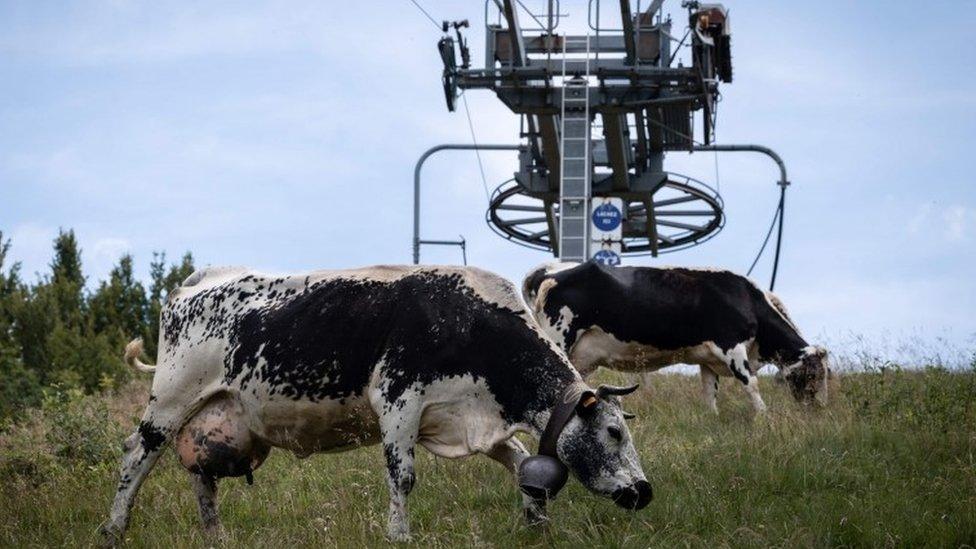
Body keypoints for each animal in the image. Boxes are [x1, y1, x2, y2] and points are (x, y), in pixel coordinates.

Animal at [103, 264, 652, 540]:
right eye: (614, 432)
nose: (644, 491)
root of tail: (200, 278)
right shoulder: (398, 399)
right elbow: (402, 477)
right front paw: (399, 535)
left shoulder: (469, 415)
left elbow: (520, 463)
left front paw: (537, 524)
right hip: (171, 399)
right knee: (136, 456)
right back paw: (113, 528)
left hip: (210, 415)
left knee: (202, 473)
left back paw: (214, 536)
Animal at [524, 260, 828, 412]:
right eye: (813, 374)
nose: (819, 408)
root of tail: (546, 269)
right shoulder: (731, 346)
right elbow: (751, 384)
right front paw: (764, 417)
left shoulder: (708, 361)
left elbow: (709, 394)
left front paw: (713, 420)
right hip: (559, 337)